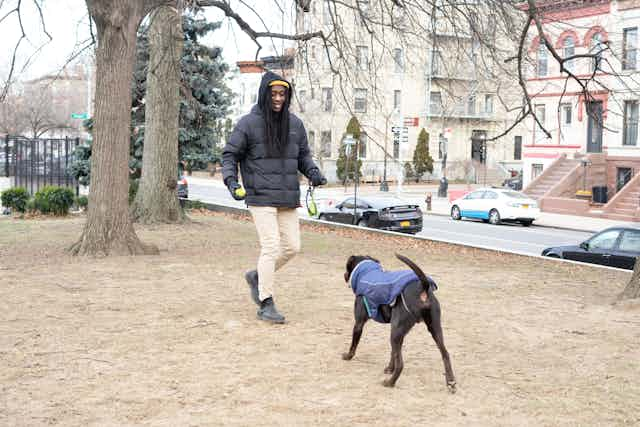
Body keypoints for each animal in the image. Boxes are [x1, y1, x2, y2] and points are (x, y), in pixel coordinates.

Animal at [344, 252, 456, 392]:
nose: (345, 275)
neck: (366, 272)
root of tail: (422, 288)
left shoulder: (359, 323)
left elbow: (354, 344)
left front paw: (348, 356)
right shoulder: (400, 333)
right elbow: (393, 353)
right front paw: (389, 368)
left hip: (396, 332)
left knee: (401, 364)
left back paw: (390, 382)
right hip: (433, 328)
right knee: (445, 353)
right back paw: (451, 381)